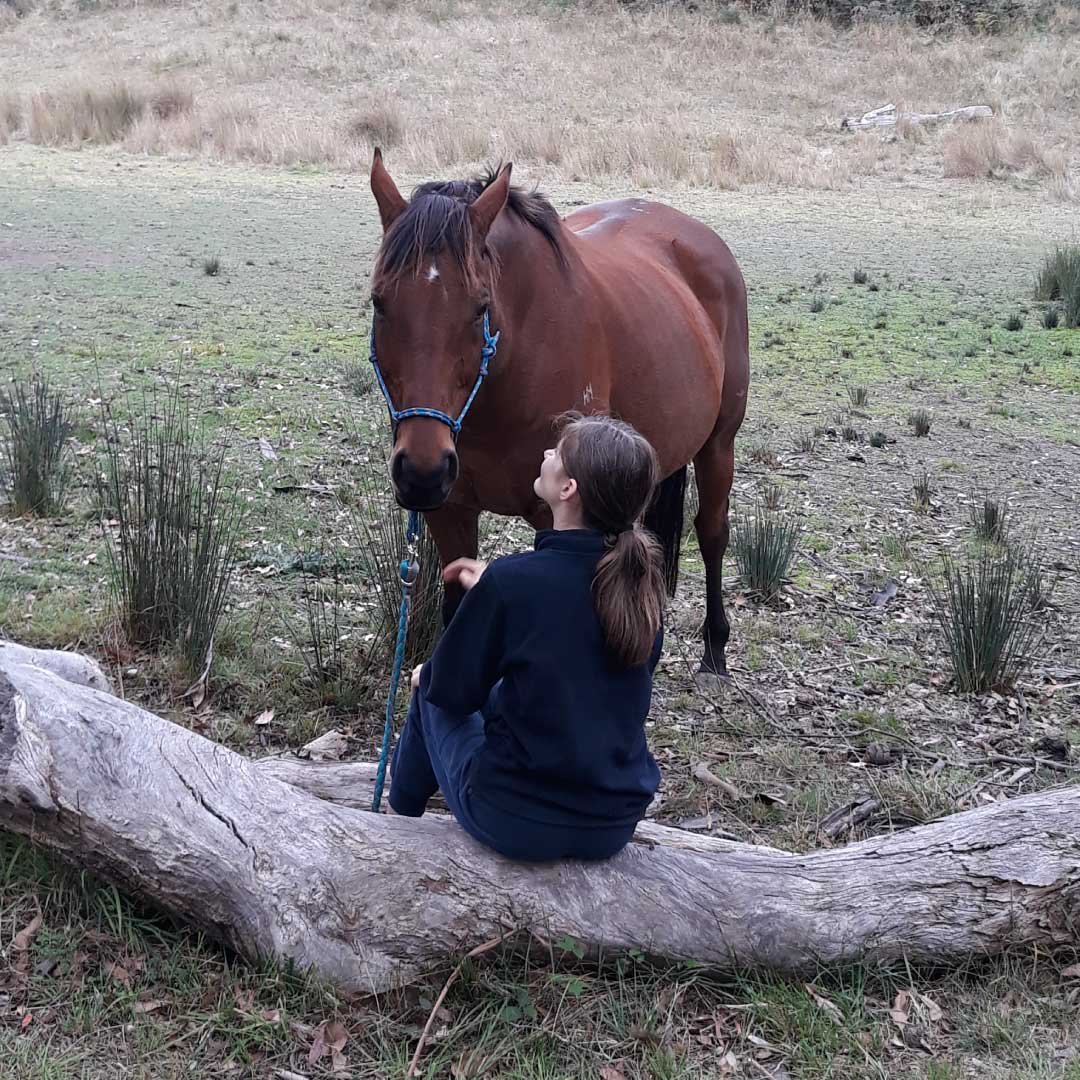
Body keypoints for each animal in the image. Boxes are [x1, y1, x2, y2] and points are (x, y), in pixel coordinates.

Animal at [367, 151, 747, 678]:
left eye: (480, 306)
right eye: (379, 301)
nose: (422, 471)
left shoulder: (557, 513)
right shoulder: (450, 511)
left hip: (718, 445)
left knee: (712, 534)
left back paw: (715, 649)